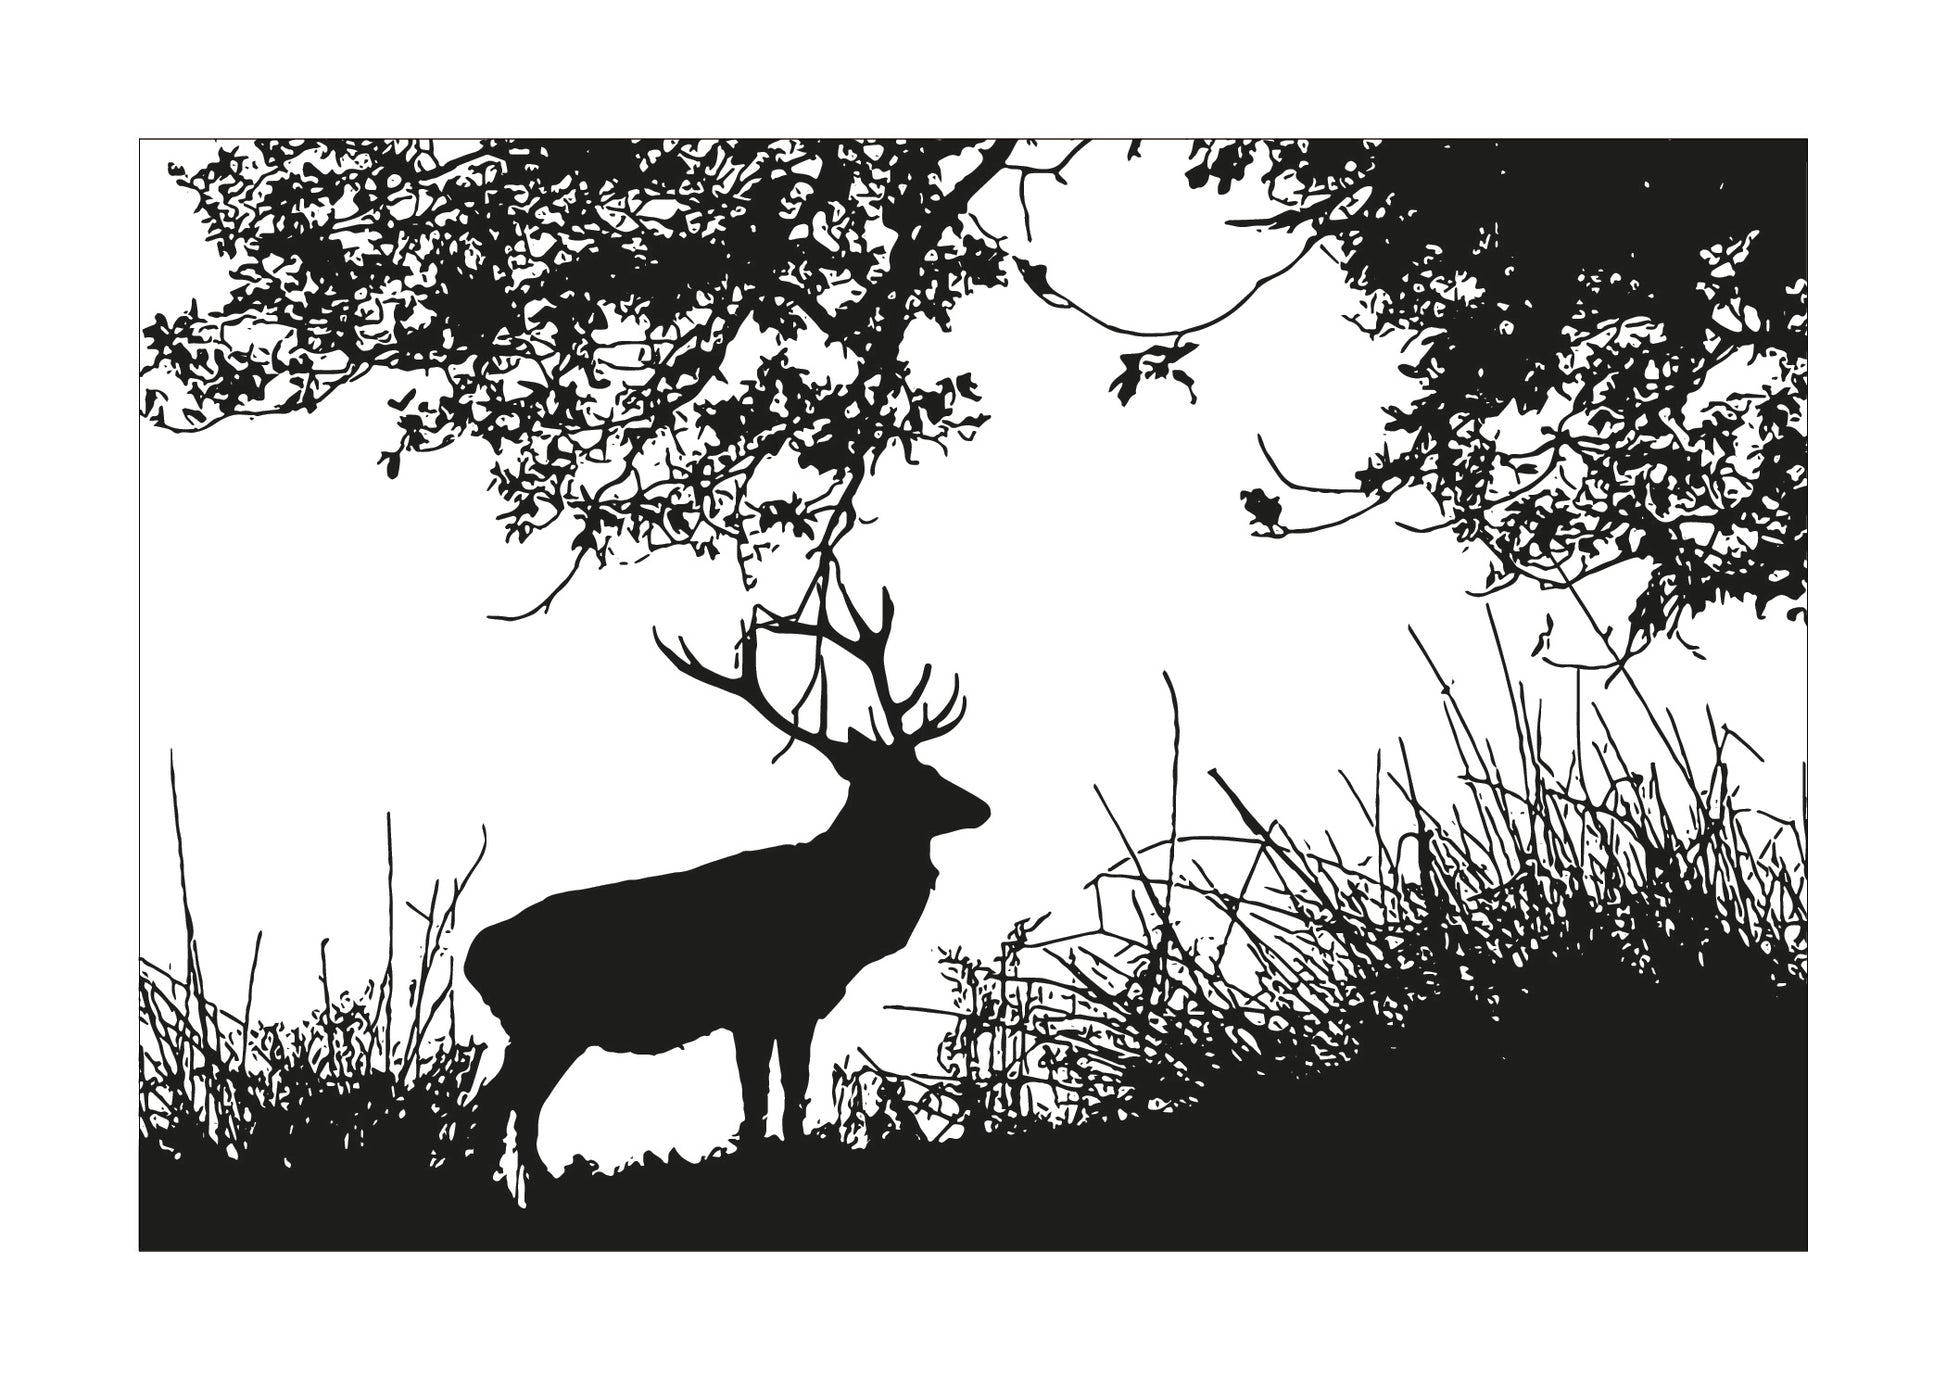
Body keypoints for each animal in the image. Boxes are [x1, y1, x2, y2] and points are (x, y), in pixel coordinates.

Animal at [461, 583, 989, 1189]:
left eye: (930, 768)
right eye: (916, 780)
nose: (981, 807)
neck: (842, 920)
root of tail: (475, 957)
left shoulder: (793, 1006)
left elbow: (787, 1093)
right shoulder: (755, 1003)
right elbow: (760, 1099)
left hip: (545, 1032)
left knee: (517, 1102)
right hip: (547, 1024)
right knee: (501, 1100)